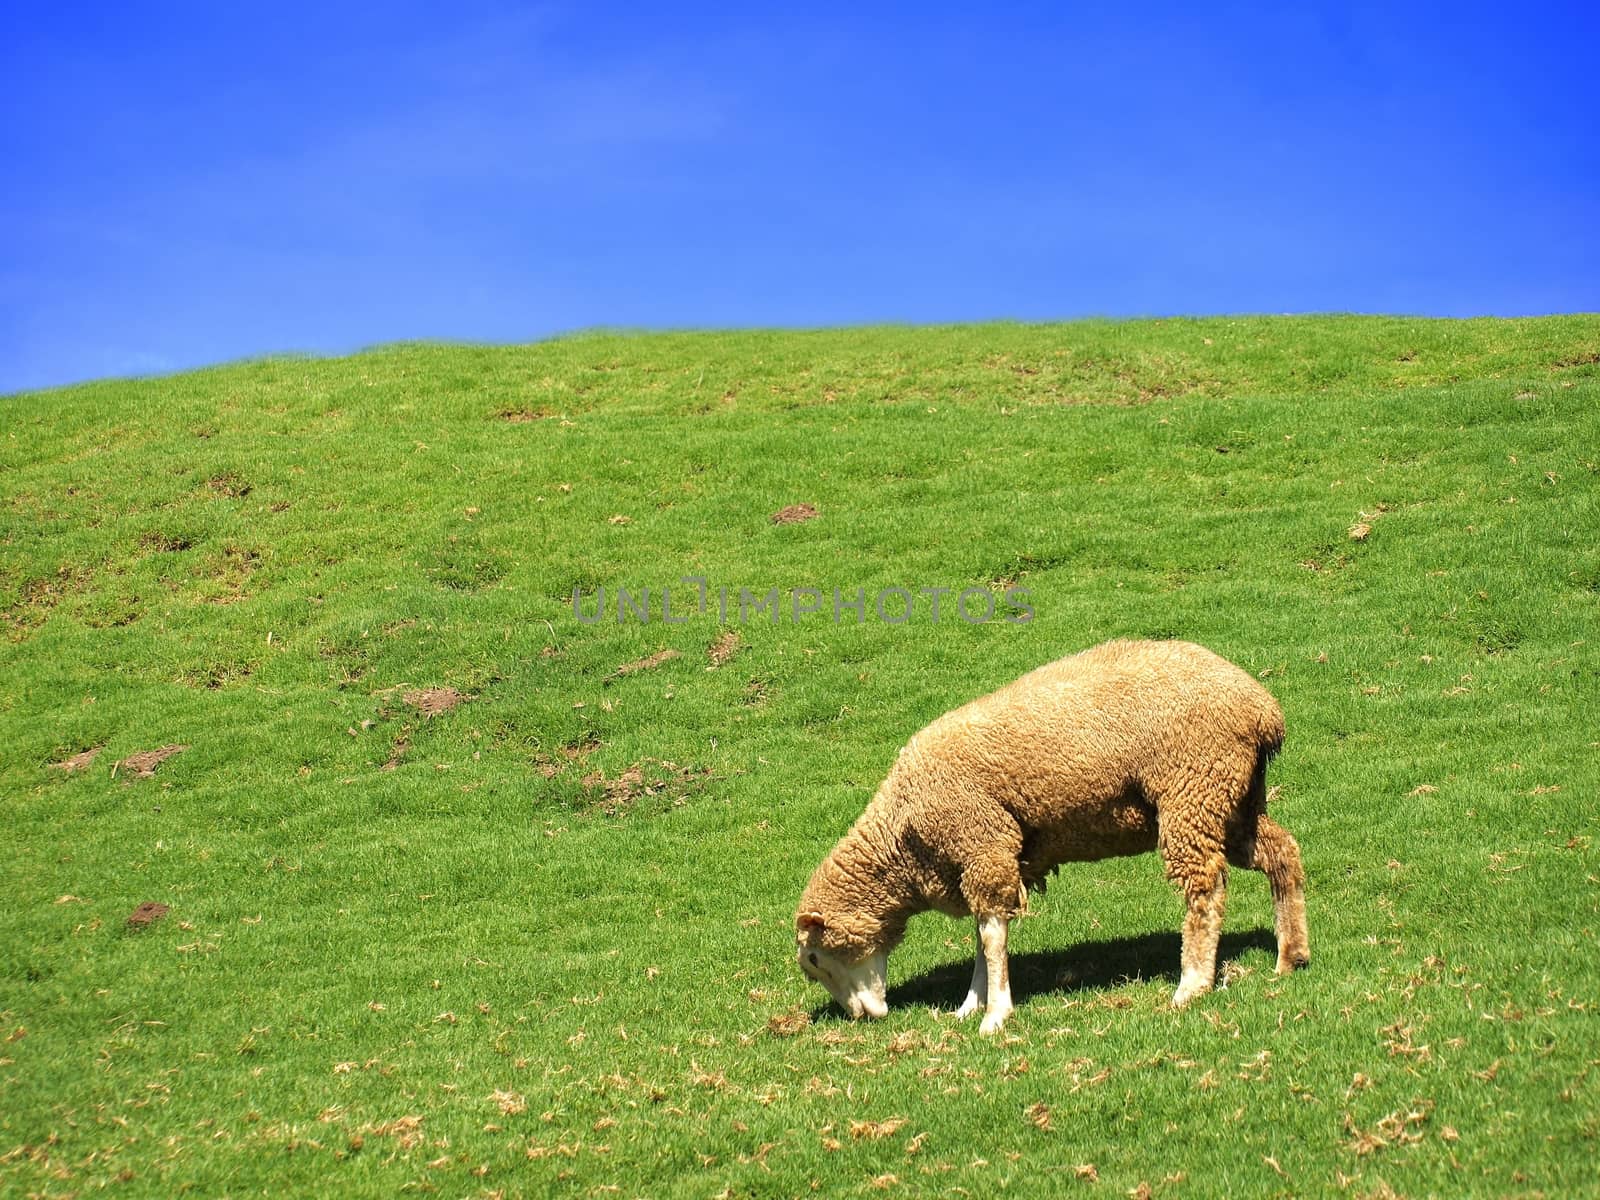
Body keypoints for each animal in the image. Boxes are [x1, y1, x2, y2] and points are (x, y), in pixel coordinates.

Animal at [793, 640, 1305, 1036]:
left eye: (815, 958)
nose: (862, 1017)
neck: (902, 833)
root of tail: (1263, 709)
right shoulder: (983, 859)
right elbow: (982, 937)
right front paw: (970, 1005)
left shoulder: (983, 844)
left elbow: (991, 937)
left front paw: (995, 1015)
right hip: (1234, 799)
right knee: (1282, 852)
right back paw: (1291, 955)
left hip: (1193, 789)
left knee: (1205, 887)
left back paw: (1192, 984)